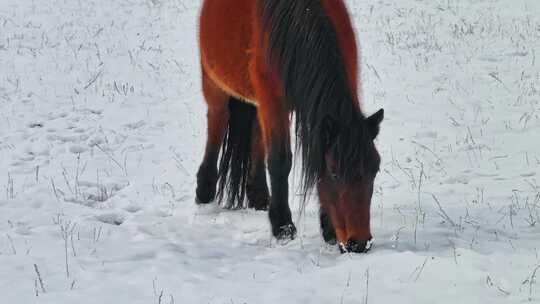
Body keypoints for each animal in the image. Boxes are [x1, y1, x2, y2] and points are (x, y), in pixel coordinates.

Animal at [196, 0, 382, 253]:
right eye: (335, 171)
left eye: (375, 169)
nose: (360, 243)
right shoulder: (274, 102)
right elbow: (280, 161)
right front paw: (282, 227)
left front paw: (328, 230)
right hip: (215, 85)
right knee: (216, 123)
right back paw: (204, 193)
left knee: (256, 134)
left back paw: (259, 196)